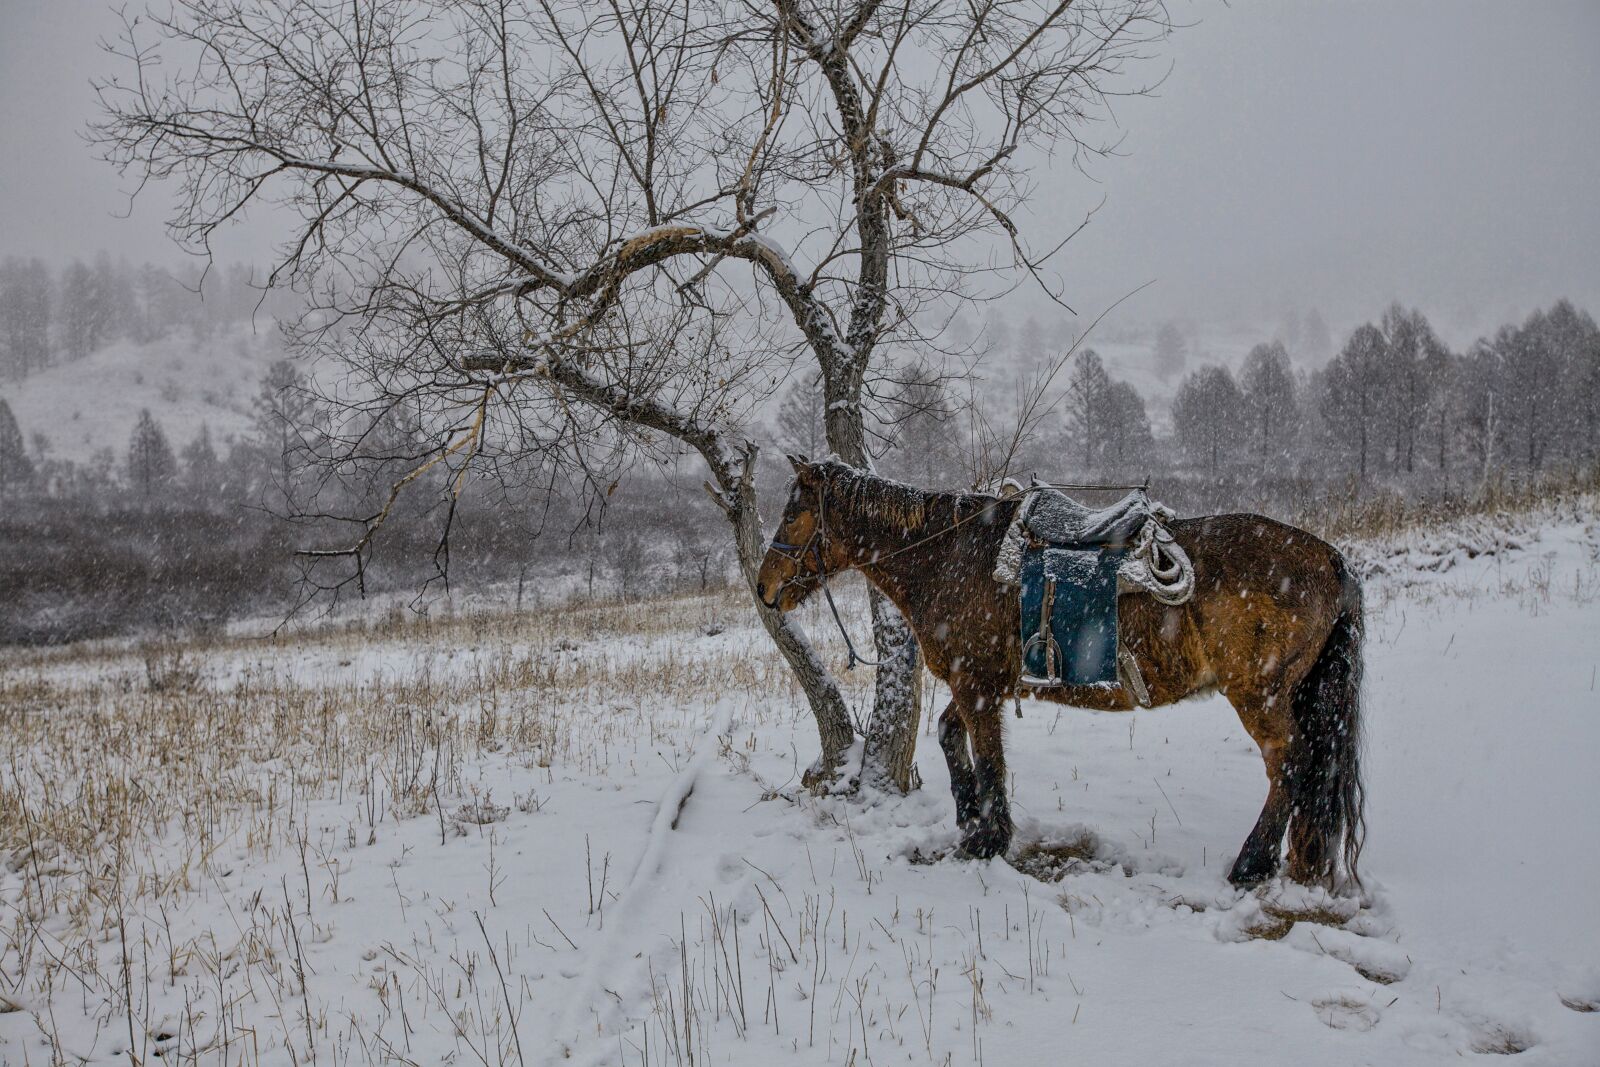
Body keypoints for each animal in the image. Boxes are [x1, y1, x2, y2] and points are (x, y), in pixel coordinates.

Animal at [756, 457, 1366, 891]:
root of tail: (1330, 559)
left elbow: (989, 758)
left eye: (792, 514)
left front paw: (987, 838)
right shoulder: (981, 684)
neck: (949, 555)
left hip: (1260, 696)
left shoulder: (976, 687)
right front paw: (968, 816)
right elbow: (951, 735)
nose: (763, 587)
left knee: (1288, 765)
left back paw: (1250, 864)